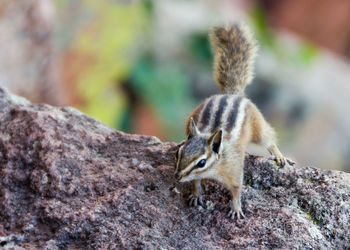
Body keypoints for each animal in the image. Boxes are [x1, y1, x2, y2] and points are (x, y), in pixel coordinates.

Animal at [174, 23, 294, 219]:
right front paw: (196, 195)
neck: (216, 167)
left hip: (258, 127)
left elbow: (237, 190)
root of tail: (232, 93)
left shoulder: (235, 171)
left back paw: (280, 156)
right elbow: (196, 181)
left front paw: (236, 209)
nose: (177, 176)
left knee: (269, 139)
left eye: (201, 162)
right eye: (179, 153)